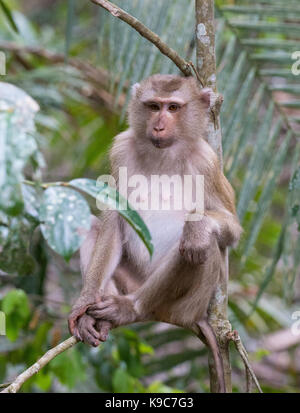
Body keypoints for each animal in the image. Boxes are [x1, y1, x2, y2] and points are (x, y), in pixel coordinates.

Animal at [68, 74, 241, 392]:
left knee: (201, 247)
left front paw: (197, 227)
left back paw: (132, 309)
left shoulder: (208, 162)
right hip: (132, 280)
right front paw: (84, 302)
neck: (165, 153)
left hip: (184, 306)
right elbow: (113, 221)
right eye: (153, 106)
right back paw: (99, 316)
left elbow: (230, 228)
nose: (159, 126)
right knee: (92, 227)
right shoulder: (120, 150)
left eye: (173, 107)